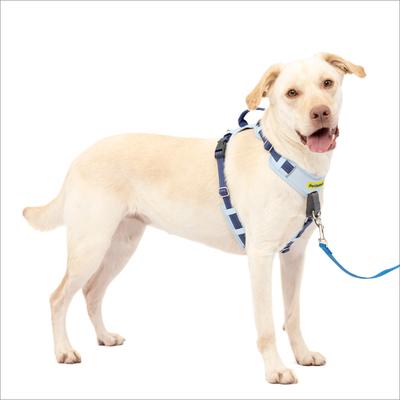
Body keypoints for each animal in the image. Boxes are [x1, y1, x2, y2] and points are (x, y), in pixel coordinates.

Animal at [23, 52, 365, 384]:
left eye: (327, 83)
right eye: (292, 93)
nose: (320, 113)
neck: (286, 159)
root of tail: (78, 158)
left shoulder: (294, 256)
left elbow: (293, 315)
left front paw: (303, 355)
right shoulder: (260, 256)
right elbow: (267, 325)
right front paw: (275, 370)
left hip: (122, 244)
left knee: (92, 291)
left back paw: (104, 337)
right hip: (91, 245)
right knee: (58, 297)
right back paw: (64, 350)